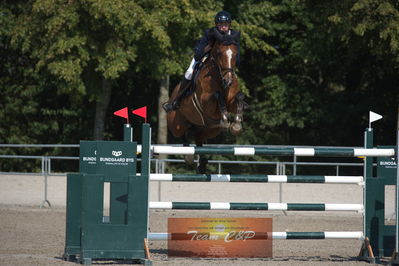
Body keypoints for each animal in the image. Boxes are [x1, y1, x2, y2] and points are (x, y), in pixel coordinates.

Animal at [166, 30, 247, 174]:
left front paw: (236, 124)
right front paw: (226, 120)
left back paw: (202, 164)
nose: (228, 81)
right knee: (182, 135)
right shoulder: (206, 103)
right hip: (176, 124)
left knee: (199, 140)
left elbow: (239, 97)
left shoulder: (231, 101)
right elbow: (217, 95)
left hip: (210, 129)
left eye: (235, 53)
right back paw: (188, 156)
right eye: (219, 53)